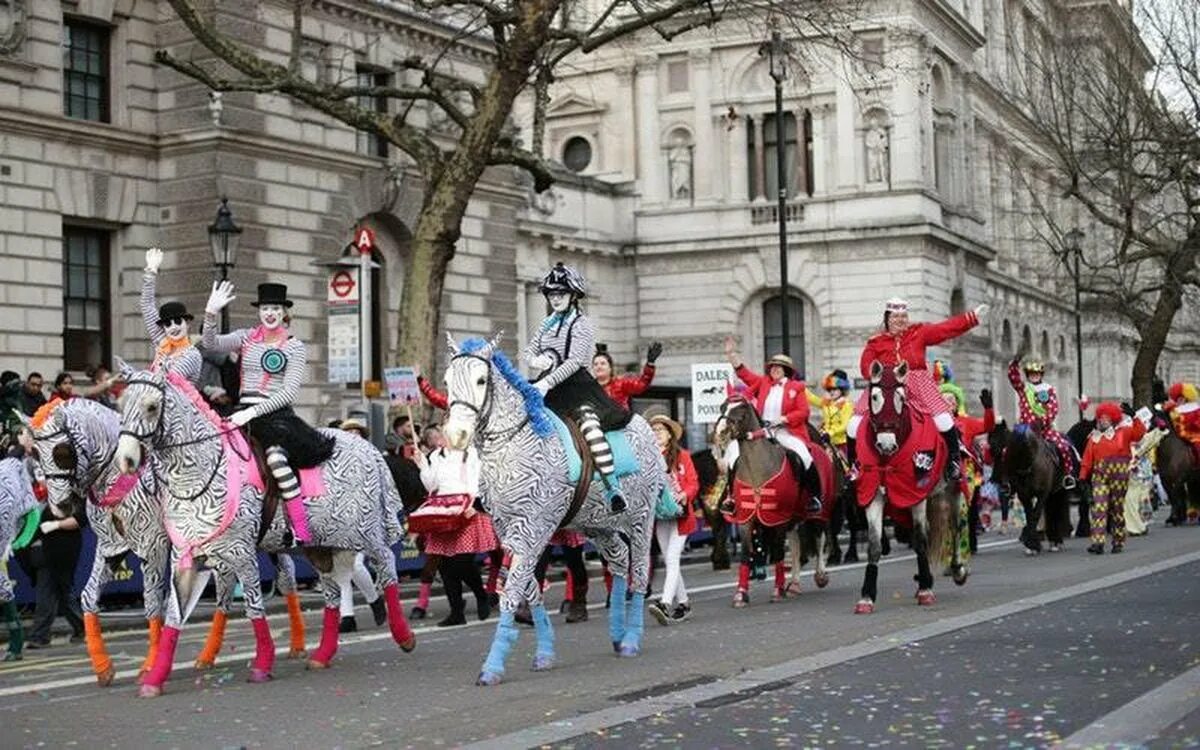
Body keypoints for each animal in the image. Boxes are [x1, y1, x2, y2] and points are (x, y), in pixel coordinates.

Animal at [20, 398, 312, 686]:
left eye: (61, 452)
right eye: (35, 453)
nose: (60, 506)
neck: (122, 477)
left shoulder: (153, 547)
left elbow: (152, 602)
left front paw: (151, 664)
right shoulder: (110, 548)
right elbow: (89, 597)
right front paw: (103, 667)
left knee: (285, 578)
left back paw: (296, 644)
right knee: (231, 588)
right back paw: (209, 655)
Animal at [113, 364, 412, 696]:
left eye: (152, 406)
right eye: (121, 404)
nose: (126, 460)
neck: (199, 475)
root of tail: (368, 448)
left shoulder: (242, 554)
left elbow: (254, 606)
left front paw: (262, 663)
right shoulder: (185, 558)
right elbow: (174, 618)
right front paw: (154, 678)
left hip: (363, 531)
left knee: (386, 564)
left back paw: (403, 635)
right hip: (322, 545)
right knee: (334, 591)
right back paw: (322, 654)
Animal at [444, 333, 667, 686]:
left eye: (481, 380)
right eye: (447, 380)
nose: (456, 435)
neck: (515, 443)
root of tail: (646, 429)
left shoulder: (535, 526)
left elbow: (513, 589)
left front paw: (492, 666)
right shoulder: (509, 530)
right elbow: (527, 587)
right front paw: (545, 652)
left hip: (641, 520)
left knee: (641, 569)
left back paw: (631, 638)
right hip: (597, 524)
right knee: (619, 561)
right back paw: (618, 634)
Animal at [988, 422, 1075, 556]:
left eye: (1003, 450)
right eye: (992, 449)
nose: (996, 480)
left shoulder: (1042, 494)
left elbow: (1035, 515)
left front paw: (1033, 544)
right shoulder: (1024, 495)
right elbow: (1029, 516)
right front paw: (1031, 545)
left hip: (1060, 491)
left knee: (1056, 512)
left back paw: (1056, 541)